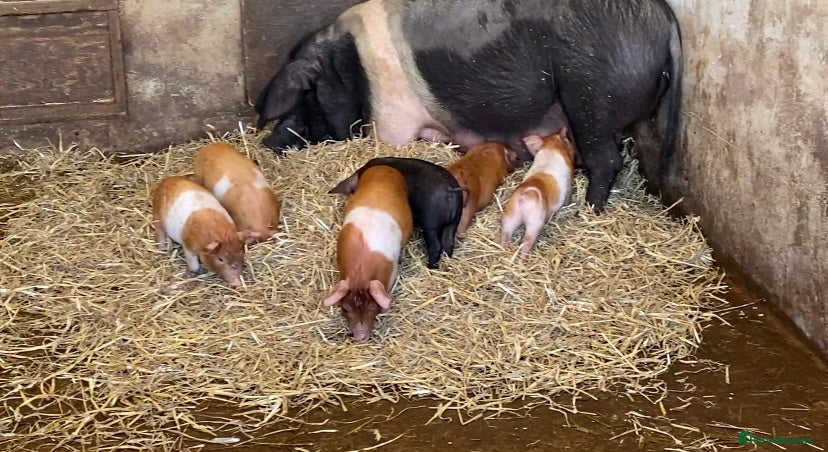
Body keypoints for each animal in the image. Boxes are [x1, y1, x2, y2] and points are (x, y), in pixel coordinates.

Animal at [254, 0, 683, 213]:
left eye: (304, 96)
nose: (267, 142)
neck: (351, 68)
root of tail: (664, 22)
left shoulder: (393, 122)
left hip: (590, 92)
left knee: (607, 158)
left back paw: (591, 211)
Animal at [329, 157, 463, 269]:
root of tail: (450, 189)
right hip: (455, 221)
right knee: (448, 242)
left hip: (430, 222)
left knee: (436, 246)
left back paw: (429, 267)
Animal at [500, 128, 576, 259]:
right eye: (568, 141)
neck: (551, 147)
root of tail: (523, 196)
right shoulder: (569, 182)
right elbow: (568, 196)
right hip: (535, 221)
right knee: (527, 241)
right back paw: (524, 258)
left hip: (510, 215)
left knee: (505, 234)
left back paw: (503, 250)